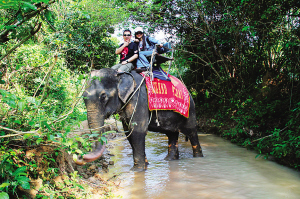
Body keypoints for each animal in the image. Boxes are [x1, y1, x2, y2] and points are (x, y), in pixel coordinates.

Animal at [74, 68, 204, 169]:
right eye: (83, 97)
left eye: (103, 96)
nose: (79, 155)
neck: (120, 73)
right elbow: (129, 133)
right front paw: (145, 165)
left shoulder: (139, 99)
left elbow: (137, 132)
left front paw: (138, 170)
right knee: (172, 134)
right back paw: (170, 160)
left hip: (190, 111)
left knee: (192, 133)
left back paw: (198, 158)